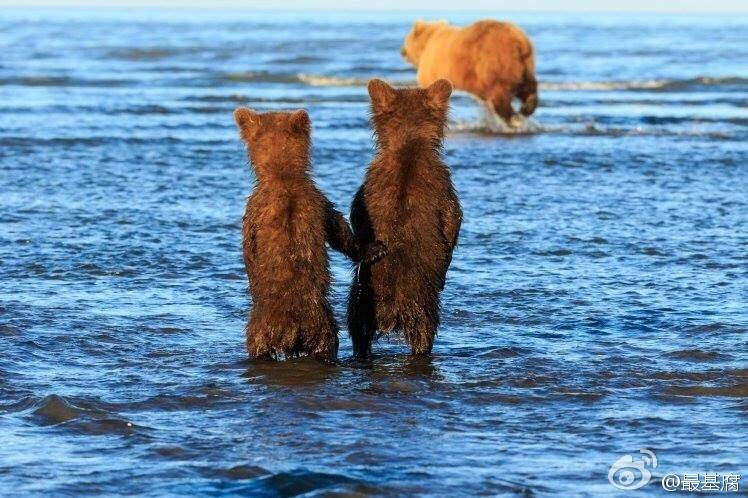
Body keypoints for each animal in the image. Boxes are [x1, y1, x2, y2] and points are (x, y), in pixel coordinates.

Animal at [404, 19, 536, 125]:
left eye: (406, 40)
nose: (402, 51)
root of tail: (519, 41)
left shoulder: (431, 68)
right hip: (524, 66)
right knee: (528, 88)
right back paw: (526, 108)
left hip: (495, 63)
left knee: (500, 93)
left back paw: (512, 118)